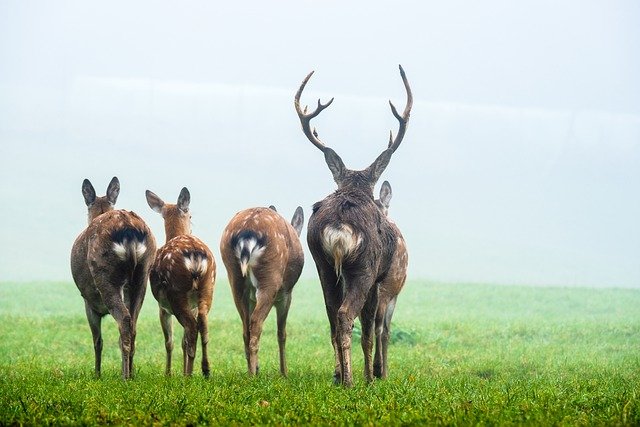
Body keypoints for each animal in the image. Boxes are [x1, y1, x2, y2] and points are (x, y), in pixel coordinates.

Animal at [70, 177, 157, 382]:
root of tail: (129, 231)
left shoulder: (89, 303)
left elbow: (97, 340)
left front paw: (97, 374)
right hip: (142, 276)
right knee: (133, 323)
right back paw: (131, 373)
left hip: (105, 275)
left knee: (124, 320)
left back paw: (124, 377)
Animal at [145, 187, 215, 378]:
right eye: (190, 216)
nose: (191, 228)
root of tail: (195, 256)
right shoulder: (192, 305)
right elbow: (182, 341)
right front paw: (179, 371)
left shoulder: (162, 308)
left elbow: (169, 342)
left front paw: (168, 374)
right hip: (208, 286)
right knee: (202, 324)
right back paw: (205, 370)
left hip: (176, 290)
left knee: (191, 327)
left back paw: (190, 374)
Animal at [220, 206, 304, 376]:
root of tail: (247, 232)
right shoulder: (286, 294)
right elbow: (281, 333)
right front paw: (284, 373)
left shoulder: (252, 297)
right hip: (270, 276)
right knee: (256, 322)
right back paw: (253, 375)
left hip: (235, 277)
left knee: (246, 327)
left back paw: (251, 371)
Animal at [296, 64, 416, 388]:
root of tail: (338, 226)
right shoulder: (377, 279)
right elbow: (371, 329)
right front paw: (371, 376)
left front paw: (345, 373)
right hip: (363, 268)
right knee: (346, 315)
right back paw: (352, 381)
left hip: (323, 266)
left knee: (331, 316)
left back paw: (340, 376)